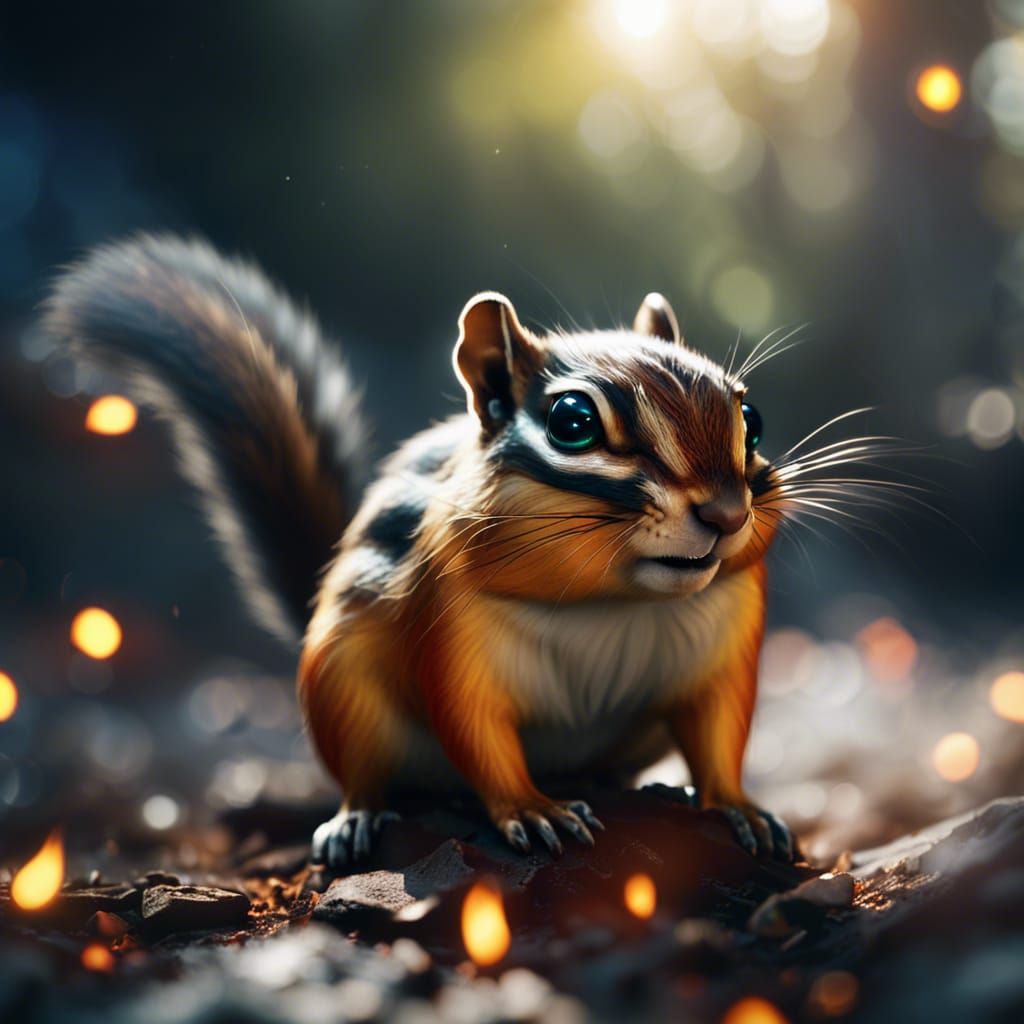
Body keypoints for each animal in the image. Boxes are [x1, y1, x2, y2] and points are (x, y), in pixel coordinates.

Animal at [46, 234, 797, 867]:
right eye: (572, 421)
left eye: (750, 417)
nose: (727, 513)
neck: (609, 602)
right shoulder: (447, 626)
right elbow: (475, 729)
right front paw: (533, 808)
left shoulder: (723, 647)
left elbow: (720, 731)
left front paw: (740, 806)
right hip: (340, 686)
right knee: (366, 775)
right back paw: (353, 821)